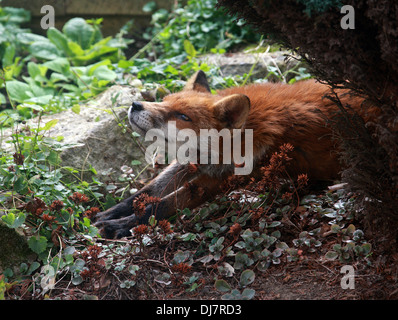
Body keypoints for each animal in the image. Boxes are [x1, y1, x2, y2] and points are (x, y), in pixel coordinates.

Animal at [95, 71, 366, 239]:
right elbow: (144, 193)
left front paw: (118, 226)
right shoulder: (192, 163)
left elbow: (161, 205)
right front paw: (107, 213)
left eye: (183, 116)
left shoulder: (220, 178)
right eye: (164, 100)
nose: (135, 105)